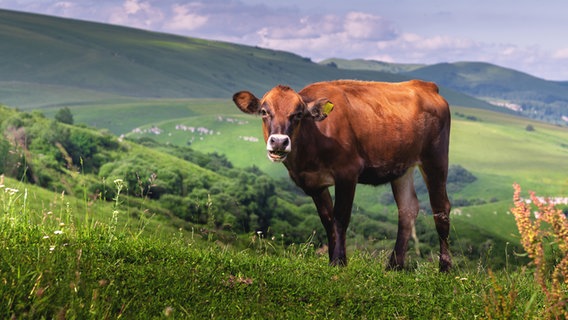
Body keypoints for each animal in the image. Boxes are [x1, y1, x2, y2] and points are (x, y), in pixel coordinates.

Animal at [233, 79, 450, 272]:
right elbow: (327, 220)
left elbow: (340, 217)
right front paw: (335, 260)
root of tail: (425, 85)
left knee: (441, 208)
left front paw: (338, 262)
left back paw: (445, 267)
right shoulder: (314, 184)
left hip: (435, 158)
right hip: (402, 167)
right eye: (264, 111)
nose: (279, 142)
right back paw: (394, 266)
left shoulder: (347, 172)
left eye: (298, 114)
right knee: (407, 209)